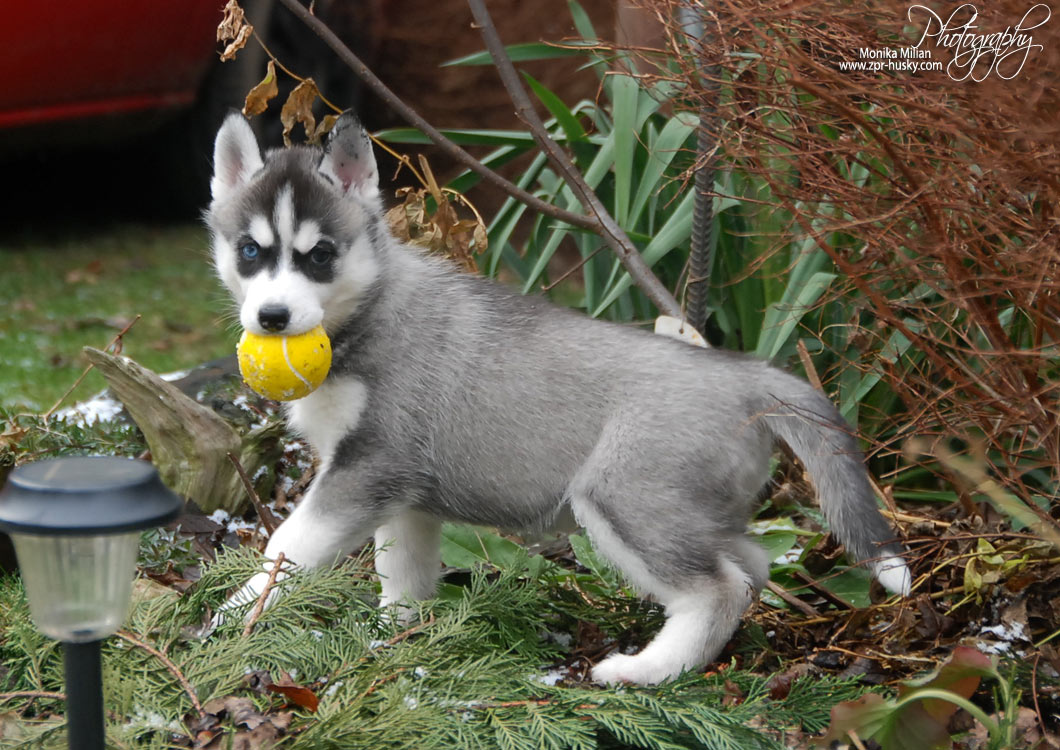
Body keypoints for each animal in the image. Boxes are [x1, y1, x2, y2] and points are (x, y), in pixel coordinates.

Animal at [205, 111, 911, 686]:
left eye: (320, 255)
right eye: (250, 251)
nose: (271, 318)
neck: (363, 313)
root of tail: (745, 373)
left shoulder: (367, 467)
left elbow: (286, 547)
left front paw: (229, 621)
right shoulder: (400, 489)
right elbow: (400, 569)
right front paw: (395, 634)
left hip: (625, 497)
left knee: (718, 589)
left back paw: (647, 670)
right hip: (694, 509)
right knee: (753, 563)